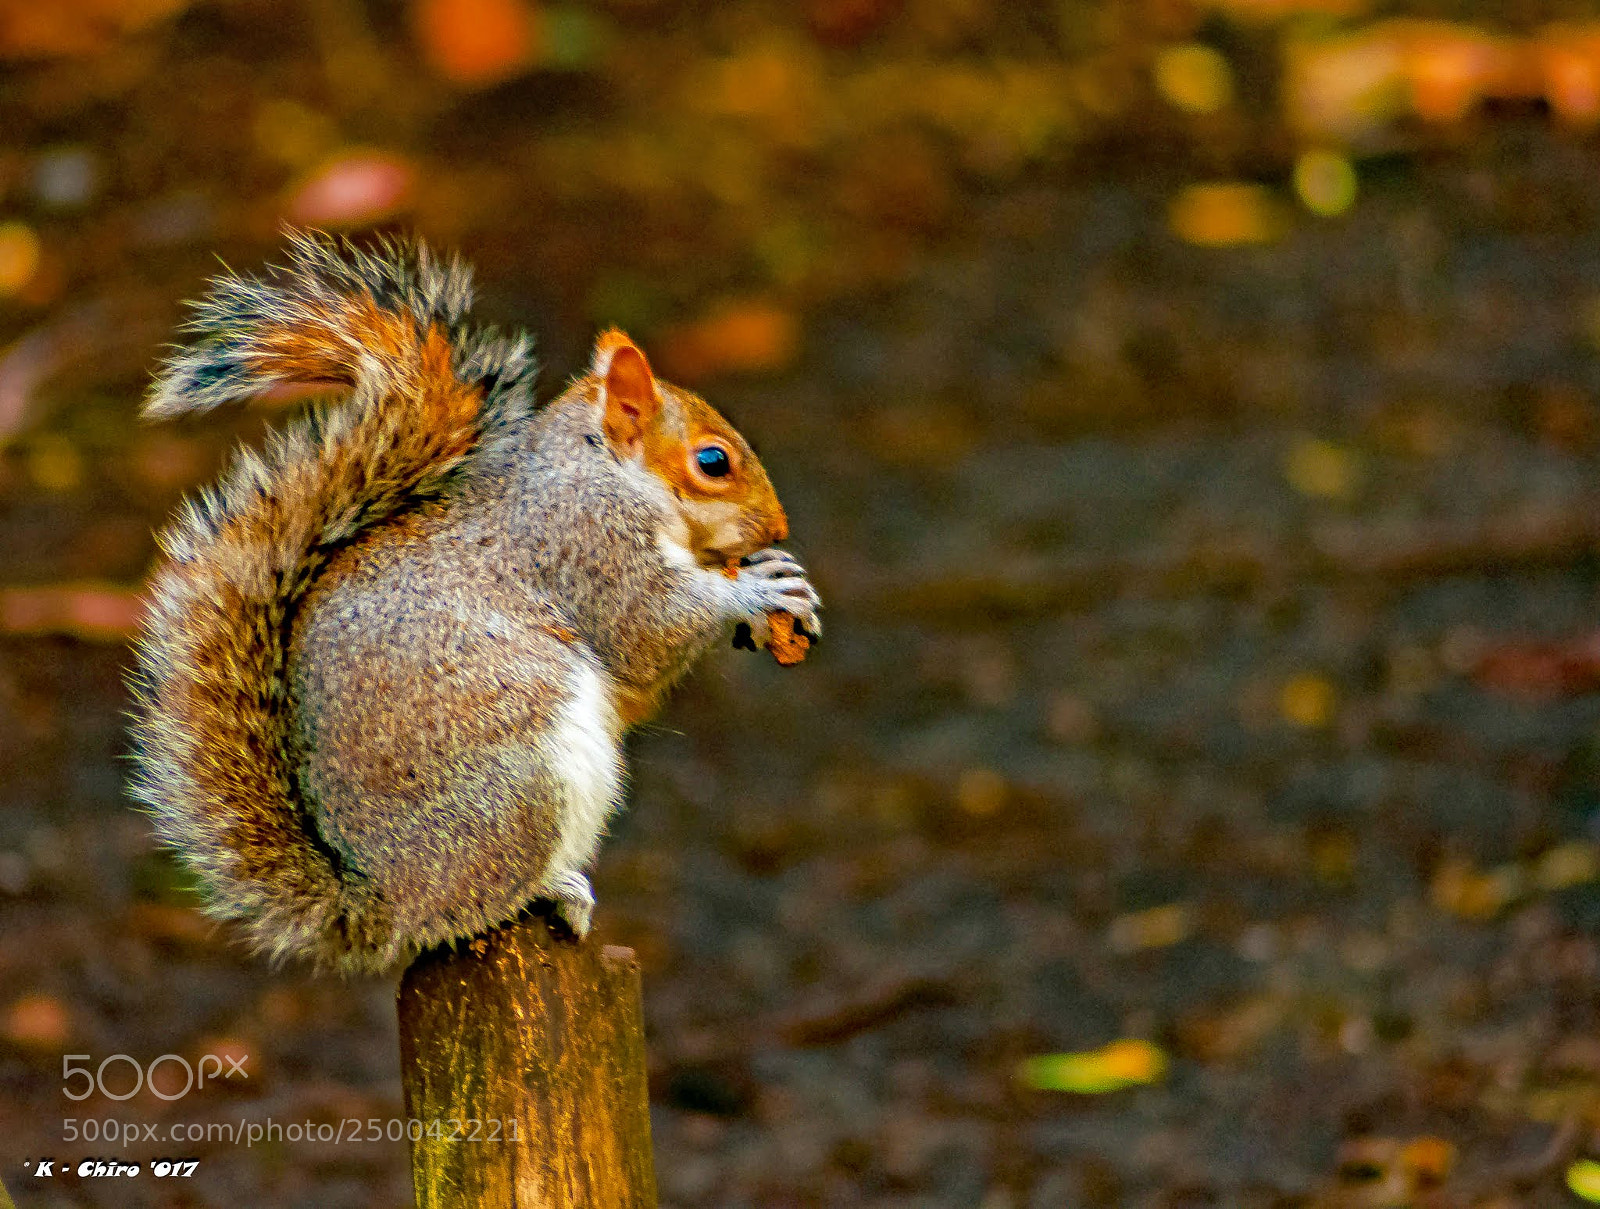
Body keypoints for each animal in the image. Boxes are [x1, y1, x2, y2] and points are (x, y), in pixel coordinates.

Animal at [128, 232, 821, 975]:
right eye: (713, 461)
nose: (778, 526)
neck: (604, 470)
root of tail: (379, 905)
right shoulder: (587, 544)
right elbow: (646, 631)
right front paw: (753, 590)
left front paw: (777, 578)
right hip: (523, 785)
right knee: (466, 910)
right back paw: (547, 889)